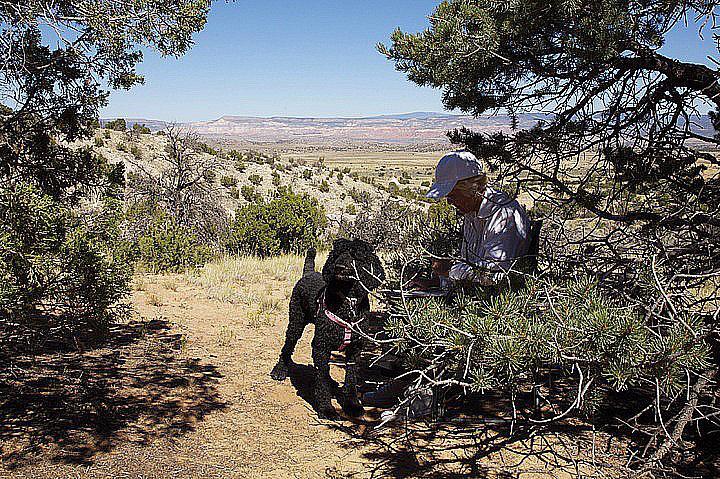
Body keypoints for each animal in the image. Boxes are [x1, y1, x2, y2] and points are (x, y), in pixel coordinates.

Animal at [268, 240, 382, 420]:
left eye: (355, 255)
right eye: (337, 254)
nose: (339, 267)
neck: (347, 302)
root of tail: (308, 273)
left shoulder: (354, 349)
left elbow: (351, 378)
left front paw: (352, 405)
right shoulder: (321, 346)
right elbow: (321, 380)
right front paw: (326, 409)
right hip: (296, 323)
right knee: (287, 347)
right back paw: (279, 370)